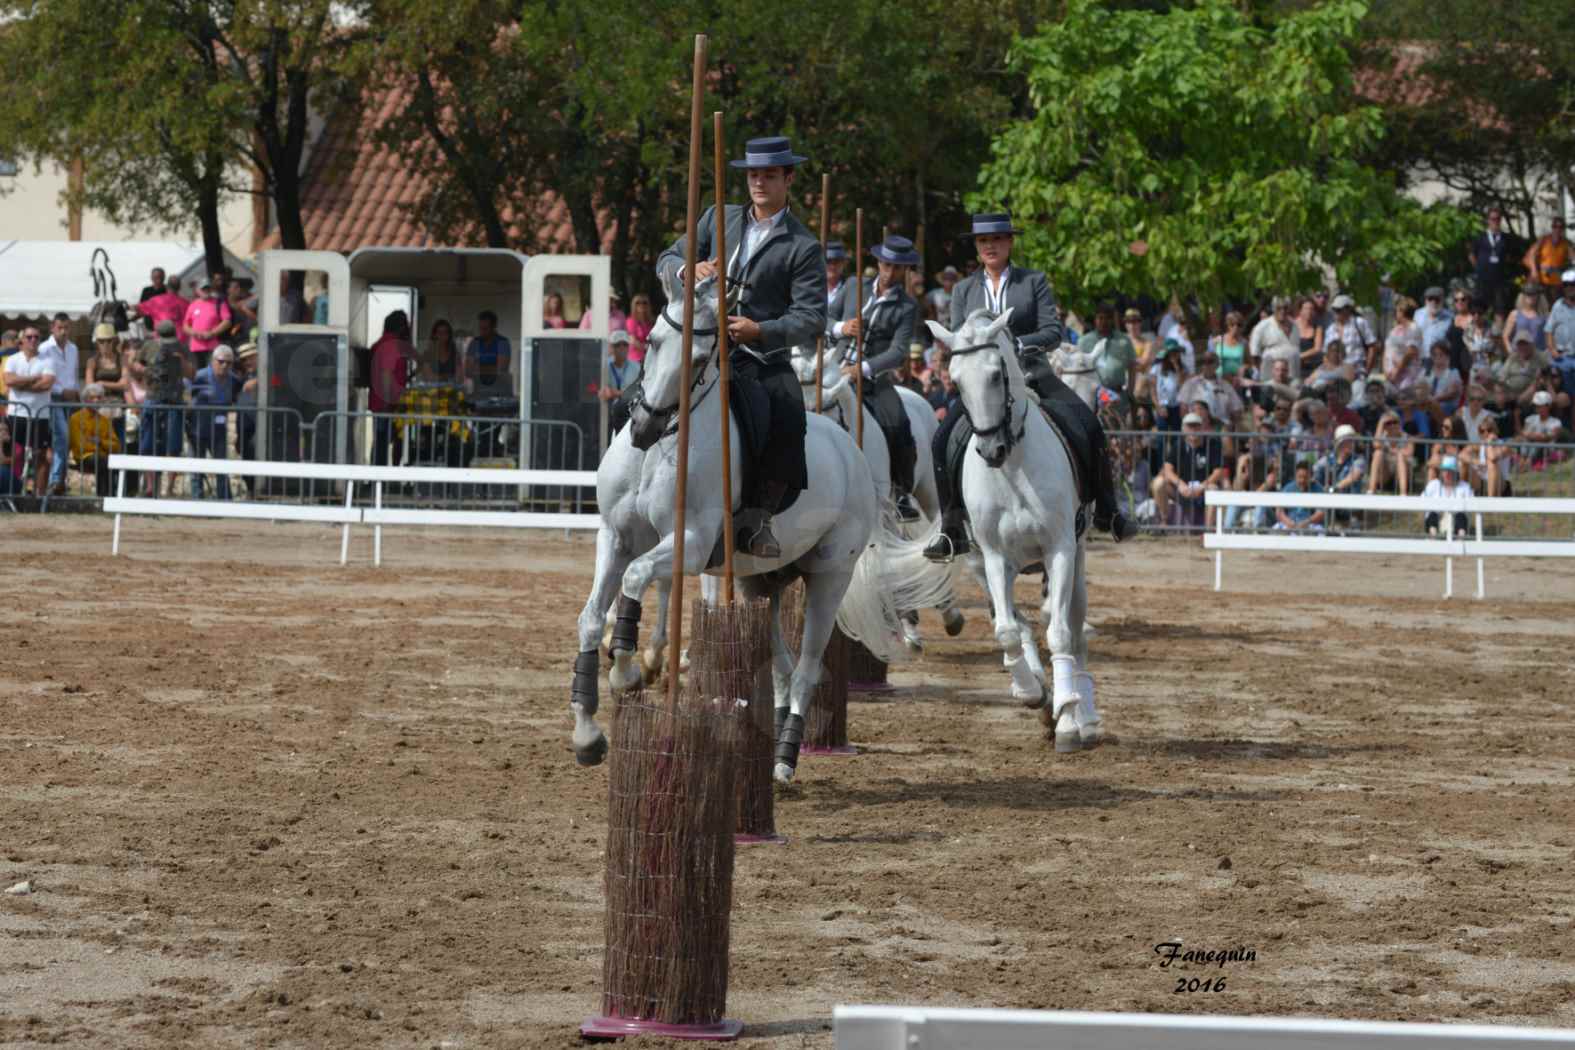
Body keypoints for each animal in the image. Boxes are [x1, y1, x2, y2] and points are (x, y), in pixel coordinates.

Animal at [573, 275, 907, 783]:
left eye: (697, 359)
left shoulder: (689, 546)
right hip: (756, 585)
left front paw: (628, 673)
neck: (664, 447)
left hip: (830, 578)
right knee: (783, 667)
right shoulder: (614, 537)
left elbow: (635, 577)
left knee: (807, 669)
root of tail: (852, 450)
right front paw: (588, 733)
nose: (644, 427)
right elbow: (592, 617)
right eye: (652, 342)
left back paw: (785, 763)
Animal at [919, 308, 1108, 752]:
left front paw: (1069, 722)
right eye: (955, 380)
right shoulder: (993, 558)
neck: (1014, 467)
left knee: (1074, 629)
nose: (991, 451)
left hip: (1077, 557)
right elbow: (1007, 630)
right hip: (977, 564)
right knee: (1017, 623)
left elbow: (1060, 633)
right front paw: (1032, 693)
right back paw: (1041, 692)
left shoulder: (1060, 551)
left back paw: (1082, 713)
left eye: (995, 375)